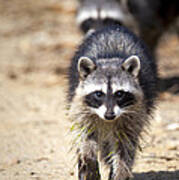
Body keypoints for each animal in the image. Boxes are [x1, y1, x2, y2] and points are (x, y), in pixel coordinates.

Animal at [67, 25, 158, 180]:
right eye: (99, 94)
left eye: (119, 94)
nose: (109, 115)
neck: (110, 60)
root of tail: (113, 27)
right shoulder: (82, 107)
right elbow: (85, 136)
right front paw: (88, 159)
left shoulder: (135, 113)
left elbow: (125, 148)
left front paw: (119, 172)